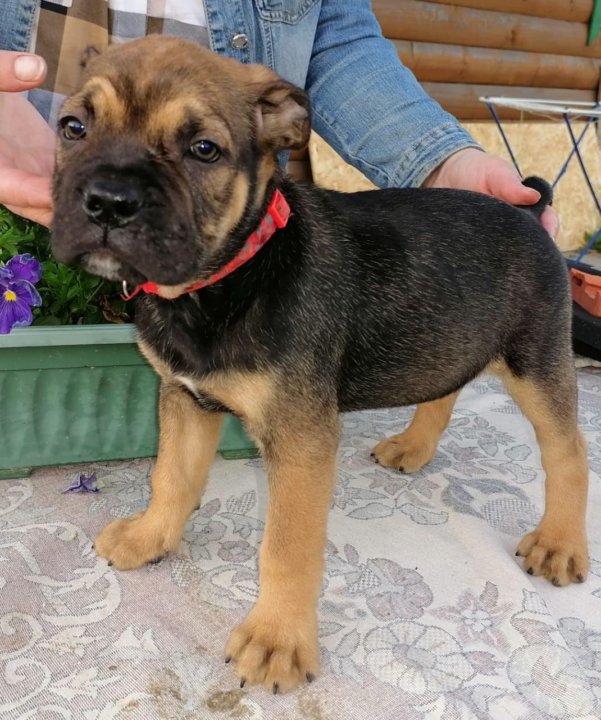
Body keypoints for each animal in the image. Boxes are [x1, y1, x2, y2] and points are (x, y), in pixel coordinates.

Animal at [51, 36, 589, 693]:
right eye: (73, 127)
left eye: (204, 149)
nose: (108, 202)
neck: (230, 278)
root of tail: (530, 214)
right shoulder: (184, 397)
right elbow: (171, 478)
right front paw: (150, 538)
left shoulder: (301, 438)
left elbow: (287, 546)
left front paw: (277, 638)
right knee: (446, 388)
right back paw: (414, 446)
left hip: (536, 360)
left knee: (568, 452)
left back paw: (559, 543)